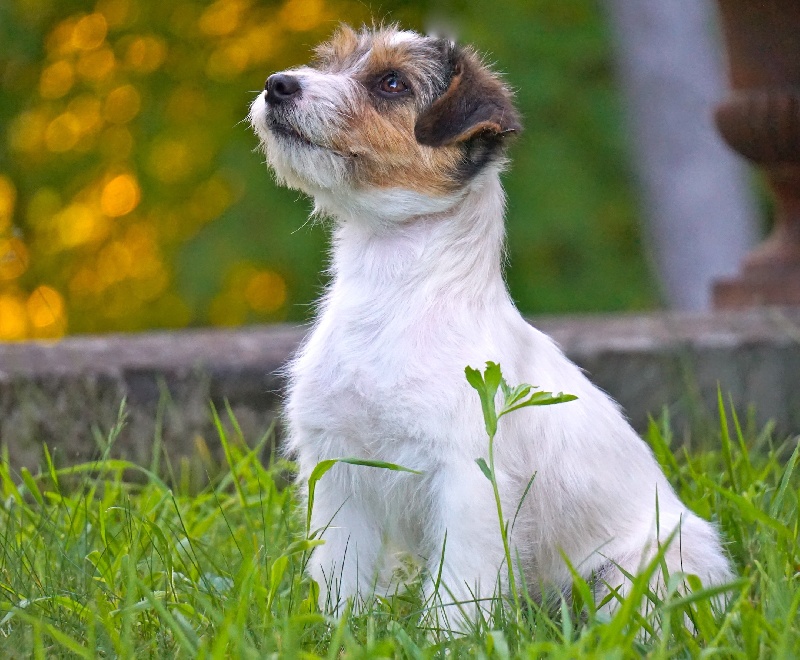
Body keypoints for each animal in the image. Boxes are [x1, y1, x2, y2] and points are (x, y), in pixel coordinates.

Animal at [249, 24, 732, 626]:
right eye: (330, 63)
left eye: (391, 83)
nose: (278, 84)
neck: (391, 295)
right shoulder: (338, 471)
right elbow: (342, 576)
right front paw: (340, 631)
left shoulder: (468, 483)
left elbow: (458, 589)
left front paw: (445, 638)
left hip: (642, 573)